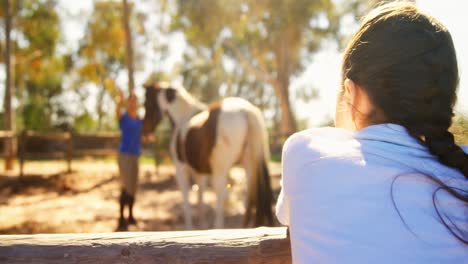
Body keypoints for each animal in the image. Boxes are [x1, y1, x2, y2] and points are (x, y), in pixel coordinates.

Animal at [143, 82, 274, 229]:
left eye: (146, 102)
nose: (145, 129)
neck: (183, 119)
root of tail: (245, 111)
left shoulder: (180, 169)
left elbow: (187, 199)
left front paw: (189, 227)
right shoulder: (201, 173)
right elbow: (200, 195)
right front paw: (202, 224)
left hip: (220, 170)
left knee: (221, 195)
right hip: (249, 166)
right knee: (249, 194)